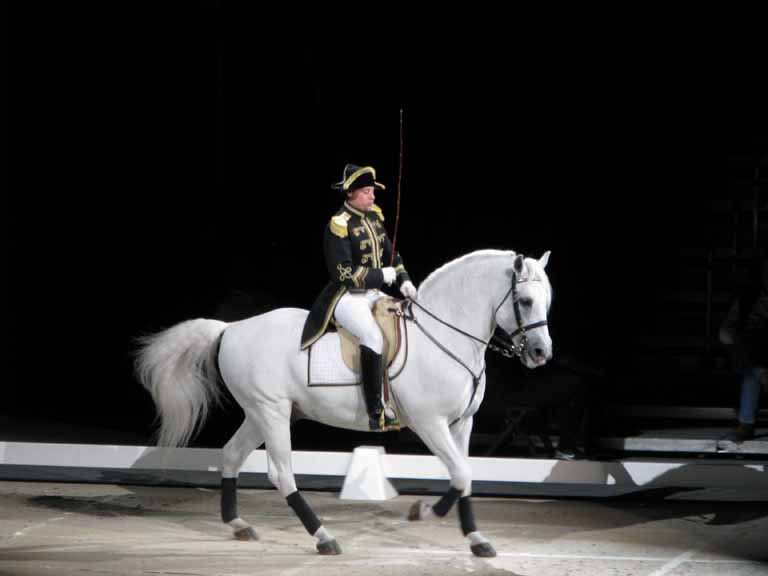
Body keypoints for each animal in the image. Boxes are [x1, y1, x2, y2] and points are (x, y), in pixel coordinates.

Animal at [136, 249, 552, 560]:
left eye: (546, 302)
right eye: (525, 301)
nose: (541, 353)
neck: (444, 335)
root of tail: (230, 328)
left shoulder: (462, 424)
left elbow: (465, 476)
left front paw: (477, 540)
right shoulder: (430, 422)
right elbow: (462, 474)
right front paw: (422, 512)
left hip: (259, 414)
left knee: (231, 455)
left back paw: (239, 526)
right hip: (272, 412)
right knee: (281, 473)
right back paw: (323, 537)